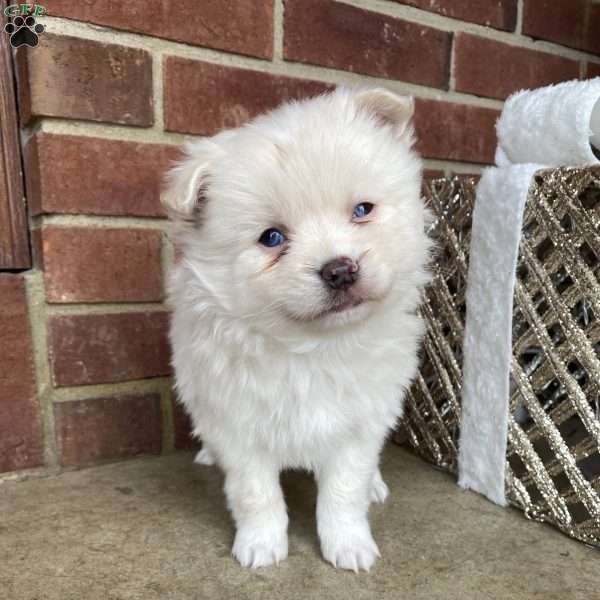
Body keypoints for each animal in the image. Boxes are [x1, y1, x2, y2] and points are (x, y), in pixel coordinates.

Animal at [163, 88, 432, 572]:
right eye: (272, 238)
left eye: (362, 210)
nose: (340, 270)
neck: (311, 346)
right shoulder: (238, 425)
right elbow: (255, 493)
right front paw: (261, 545)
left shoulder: (358, 424)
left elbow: (344, 491)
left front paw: (349, 545)